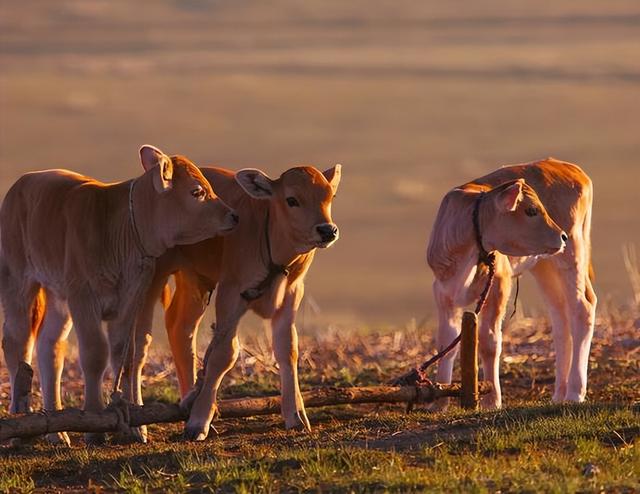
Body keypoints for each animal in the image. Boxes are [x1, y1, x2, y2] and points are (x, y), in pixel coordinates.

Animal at [0, 146, 238, 444]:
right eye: (197, 191)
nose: (233, 215)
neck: (116, 229)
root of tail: (23, 183)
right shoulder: (83, 296)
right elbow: (94, 354)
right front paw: (93, 423)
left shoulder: (129, 300)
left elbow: (123, 355)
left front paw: (134, 426)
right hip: (17, 282)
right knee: (16, 344)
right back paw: (19, 424)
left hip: (58, 296)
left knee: (49, 347)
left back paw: (58, 431)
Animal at [428, 159, 596, 410]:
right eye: (531, 210)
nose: (562, 236)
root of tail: (568, 166)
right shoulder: (443, 291)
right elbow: (446, 345)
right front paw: (439, 404)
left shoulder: (499, 282)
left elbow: (489, 341)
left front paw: (492, 400)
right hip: (544, 265)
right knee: (560, 319)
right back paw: (559, 394)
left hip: (572, 254)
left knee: (582, 308)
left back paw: (575, 393)